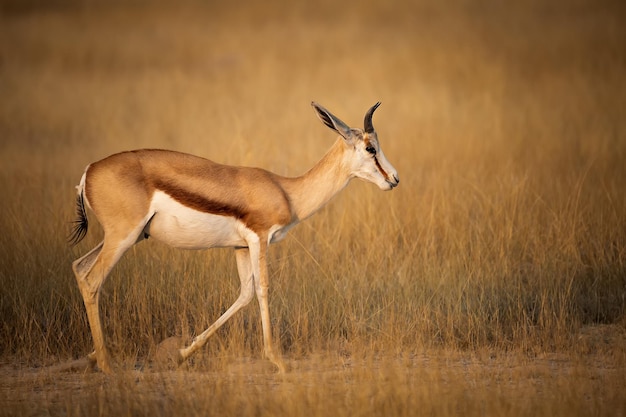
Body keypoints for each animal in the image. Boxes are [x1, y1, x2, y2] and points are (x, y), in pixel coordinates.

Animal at [68, 101, 398, 374]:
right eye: (370, 148)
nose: (394, 178)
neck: (287, 192)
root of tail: (88, 172)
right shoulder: (259, 238)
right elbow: (263, 289)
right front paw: (278, 361)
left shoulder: (240, 246)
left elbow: (245, 294)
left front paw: (182, 354)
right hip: (123, 237)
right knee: (93, 279)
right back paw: (107, 365)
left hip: (130, 237)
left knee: (79, 267)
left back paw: (93, 357)